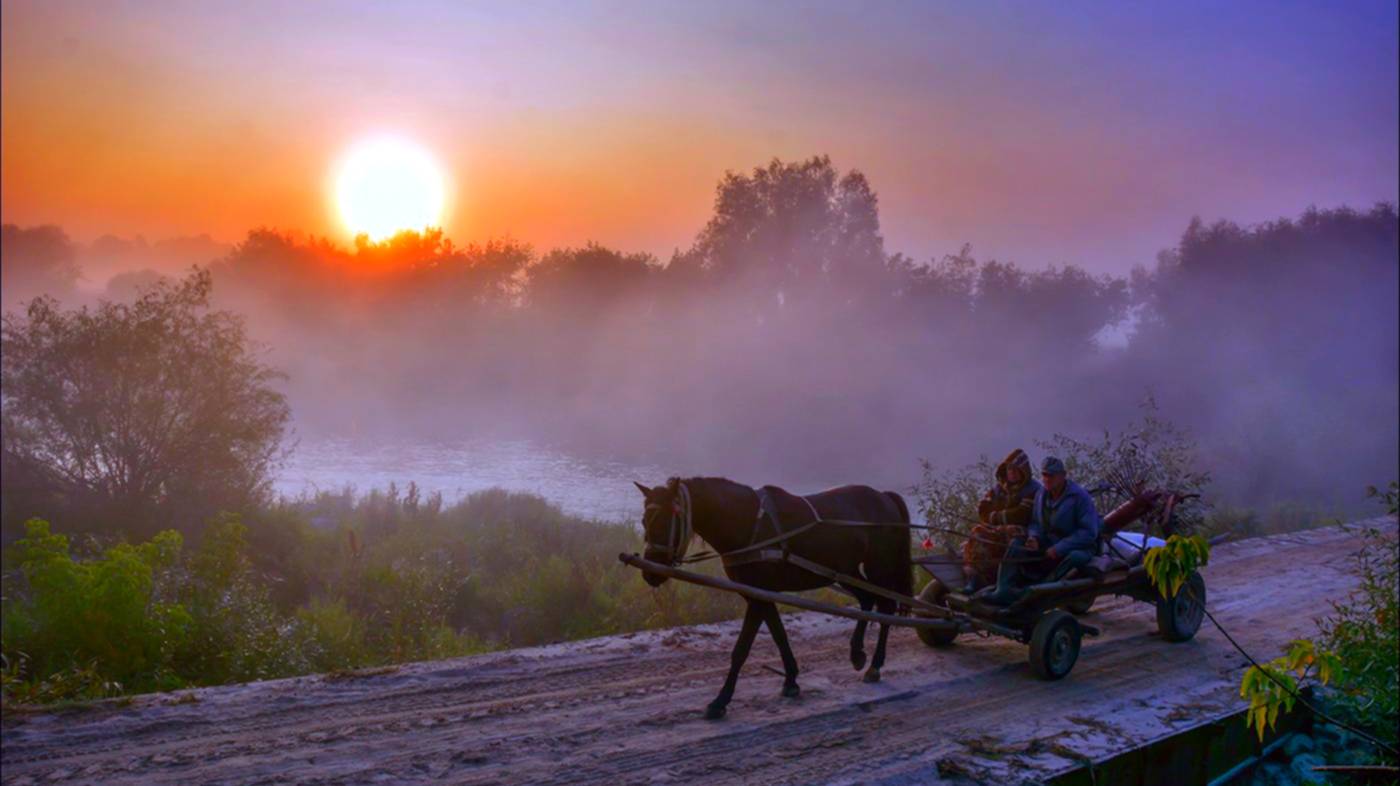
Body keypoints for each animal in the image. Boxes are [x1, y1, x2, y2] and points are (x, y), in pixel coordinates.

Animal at [632, 476, 912, 722]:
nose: (650, 573)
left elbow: (741, 650)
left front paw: (720, 701)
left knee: (886, 607)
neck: (747, 523)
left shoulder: (759, 596)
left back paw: (875, 665)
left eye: (665, 521)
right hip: (846, 571)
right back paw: (857, 652)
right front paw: (791, 679)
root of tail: (883, 496)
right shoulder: (758, 595)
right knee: (867, 601)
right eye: (644, 521)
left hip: (879, 567)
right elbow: (779, 635)